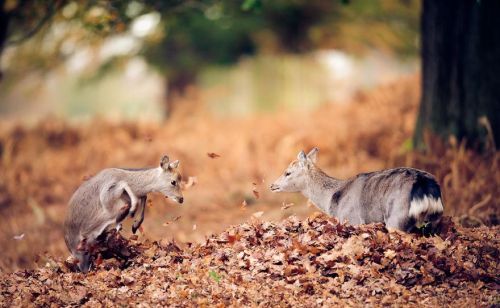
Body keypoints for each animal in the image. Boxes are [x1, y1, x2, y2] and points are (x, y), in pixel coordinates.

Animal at [272, 148, 444, 232]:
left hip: (396, 216)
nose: (272, 185)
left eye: (288, 172)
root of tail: (426, 187)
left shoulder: (352, 218)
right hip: (434, 220)